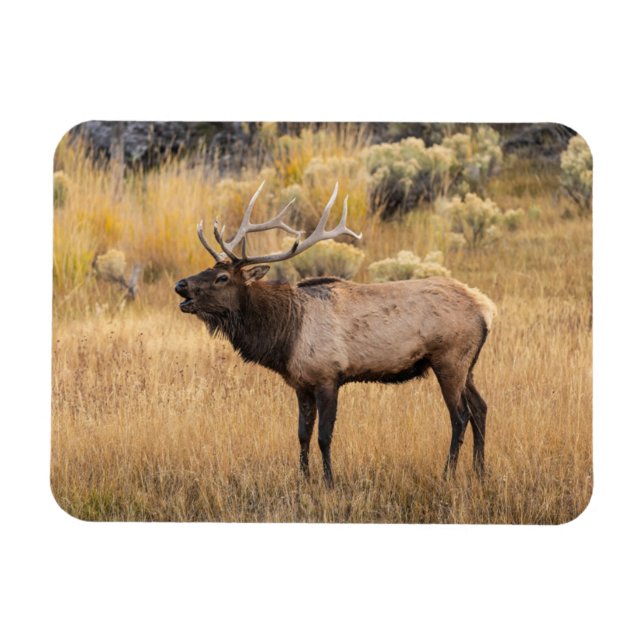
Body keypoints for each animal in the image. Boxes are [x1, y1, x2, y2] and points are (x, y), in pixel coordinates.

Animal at [175, 182, 496, 486]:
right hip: (467, 365)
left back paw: (448, 474)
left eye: (222, 277)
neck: (285, 336)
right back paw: (480, 472)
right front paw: (303, 478)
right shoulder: (301, 383)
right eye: (207, 269)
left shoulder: (328, 376)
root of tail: (486, 308)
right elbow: (302, 434)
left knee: (461, 416)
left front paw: (329, 481)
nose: (180, 285)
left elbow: (324, 436)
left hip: (449, 359)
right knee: (481, 408)